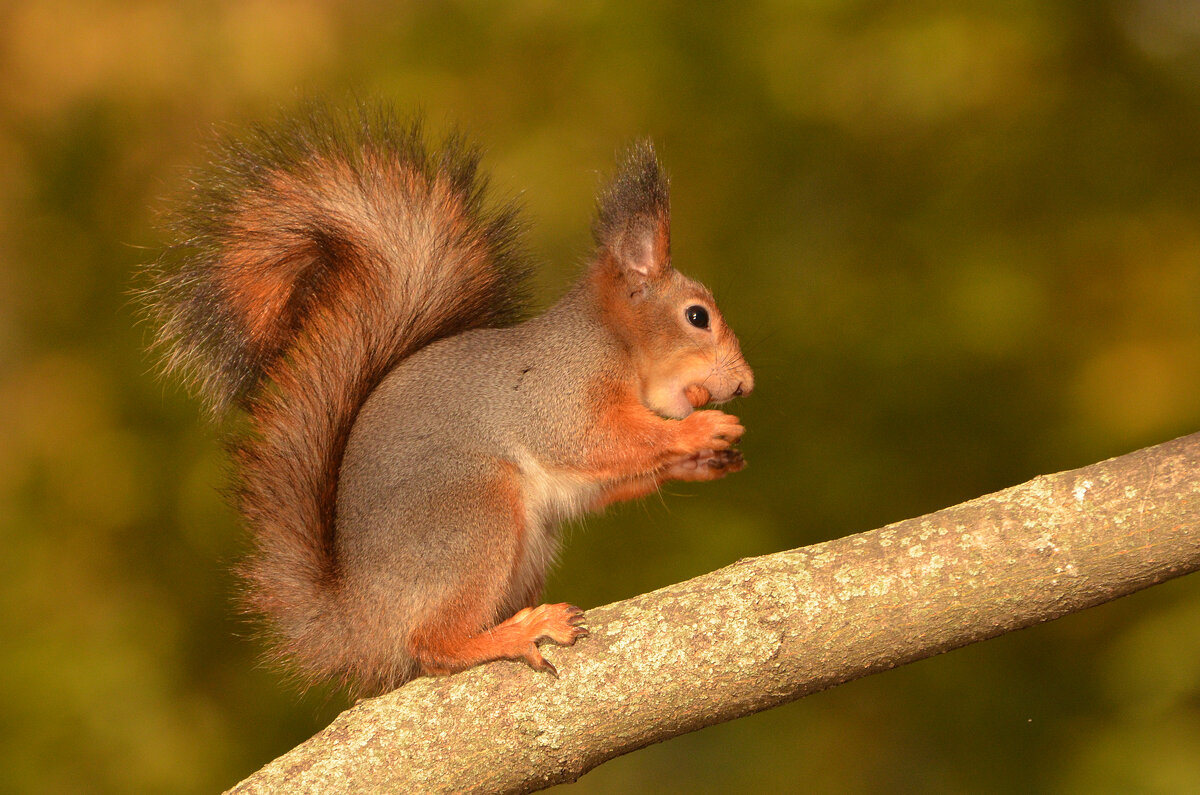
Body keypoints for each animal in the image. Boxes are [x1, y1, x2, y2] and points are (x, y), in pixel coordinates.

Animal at [145, 105, 753, 696]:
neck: (615, 343)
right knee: (433, 646)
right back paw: (518, 632)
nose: (745, 384)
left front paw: (705, 459)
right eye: (697, 316)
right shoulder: (559, 395)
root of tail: (361, 622)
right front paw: (701, 431)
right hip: (471, 513)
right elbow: (600, 441)